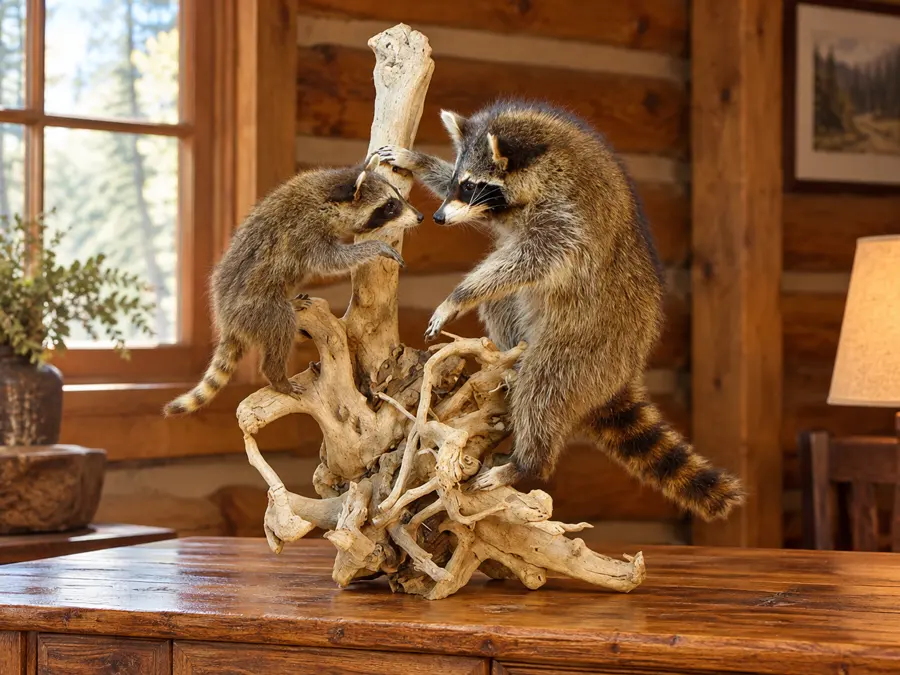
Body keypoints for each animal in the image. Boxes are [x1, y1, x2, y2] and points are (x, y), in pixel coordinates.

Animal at [163, 154, 423, 417]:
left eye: (397, 196)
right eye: (390, 206)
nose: (420, 217)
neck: (329, 191)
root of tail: (227, 322)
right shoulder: (307, 230)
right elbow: (331, 261)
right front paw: (374, 247)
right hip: (256, 309)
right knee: (281, 324)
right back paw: (276, 375)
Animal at [376, 100, 743, 521]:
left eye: (469, 185)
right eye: (457, 180)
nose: (438, 218)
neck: (541, 157)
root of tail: (622, 375)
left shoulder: (568, 217)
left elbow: (531, 260)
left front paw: (458, 295)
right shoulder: (510, 210)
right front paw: (419, 161)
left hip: (586, 348)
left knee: (544, 387)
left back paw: (527, 462)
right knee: (502, 302)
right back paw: (510, 356)